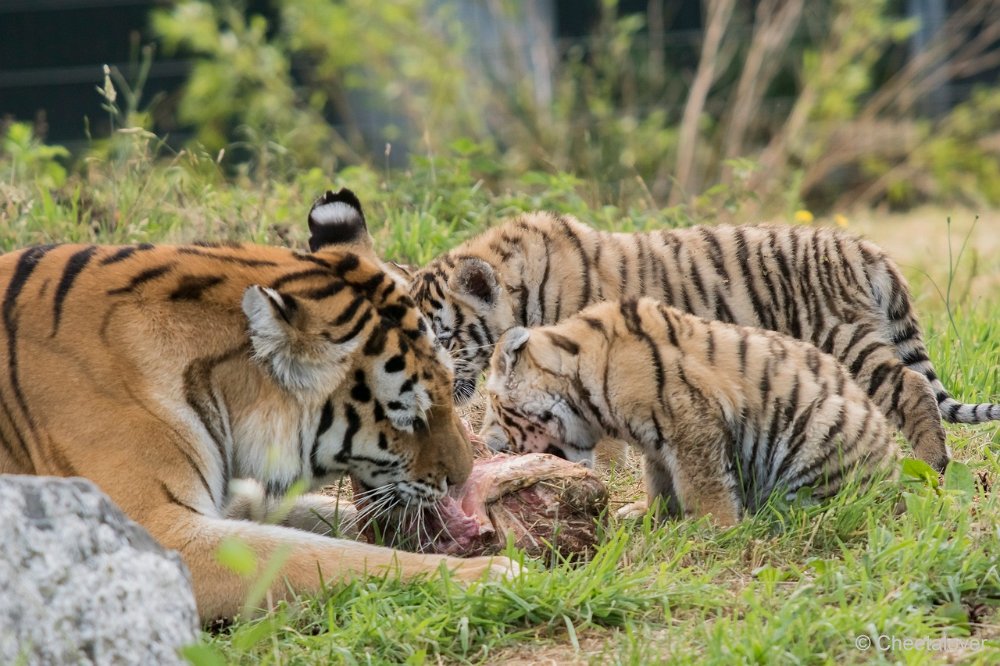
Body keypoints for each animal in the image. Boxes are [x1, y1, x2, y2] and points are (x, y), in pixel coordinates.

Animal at [0, 187, 516, 616]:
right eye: (406, 415)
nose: (462, 477)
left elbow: (326, 520)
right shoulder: (160, 532)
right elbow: (325, 556)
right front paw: (496, 573)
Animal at [412, 211, 1000, 466]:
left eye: (442, 337)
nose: (429, 387)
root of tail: (866, 248)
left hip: (846, 338)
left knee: (912, 390)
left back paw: (932, 468)